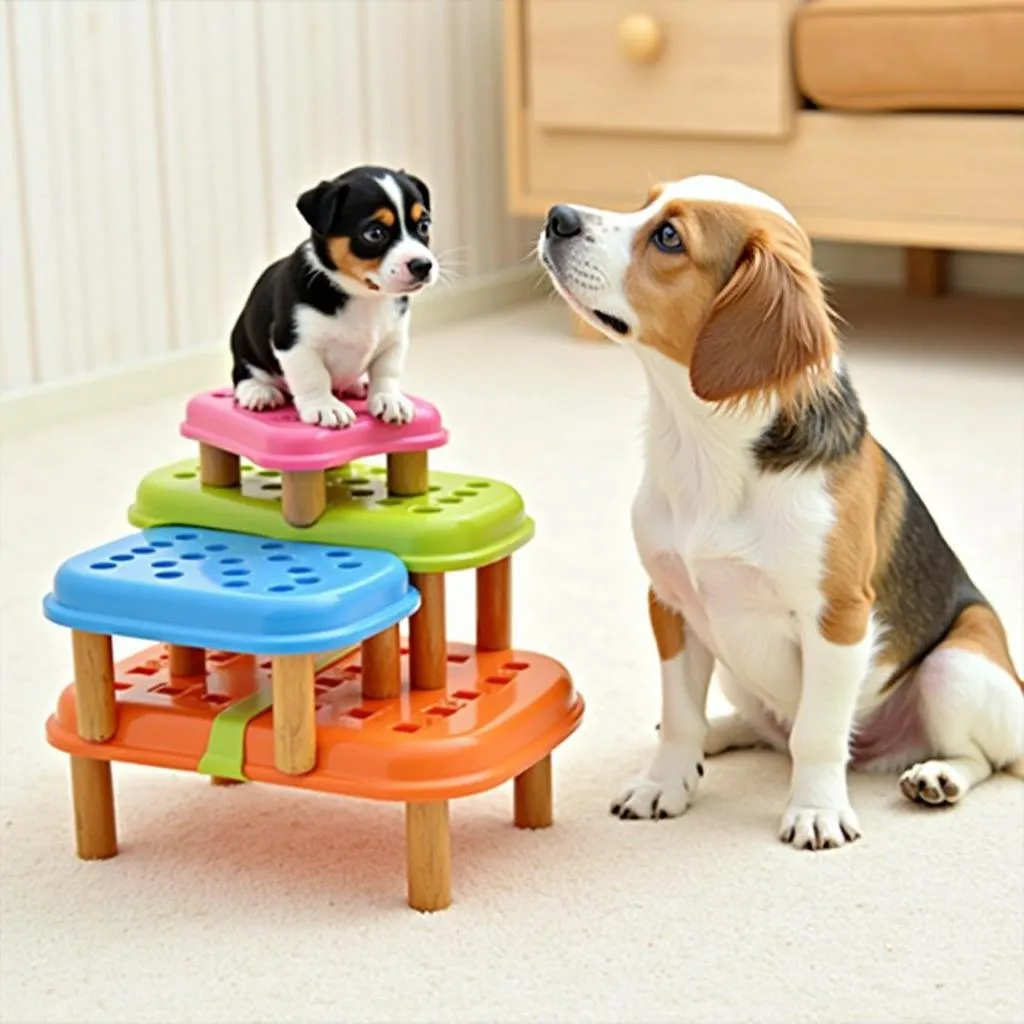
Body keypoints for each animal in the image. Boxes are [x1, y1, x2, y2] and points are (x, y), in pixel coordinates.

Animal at [230, 164, 438, 428]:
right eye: (374, 233)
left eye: (424, 226)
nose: (423, 265)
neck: (363, 296)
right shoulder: (294, 342)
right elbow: (313, 377)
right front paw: (325, 406)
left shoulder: (394, 341)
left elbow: (387, 373)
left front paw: (389, 398)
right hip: (244, 346)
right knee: (243, 373)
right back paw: (258, 391)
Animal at [536, 174, 1024, 847]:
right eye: (645, 201)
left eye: (669, 237)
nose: (555, 217)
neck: (703, 444)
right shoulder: (670, 605)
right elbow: (679, 711)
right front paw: (666, 780)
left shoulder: (838, 618)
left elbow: (816, 734)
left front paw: (815, 809)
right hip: (737, 669)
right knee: (763, 728)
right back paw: (715, 737)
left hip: (955, 669)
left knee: (979, 758)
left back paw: (936, 776)